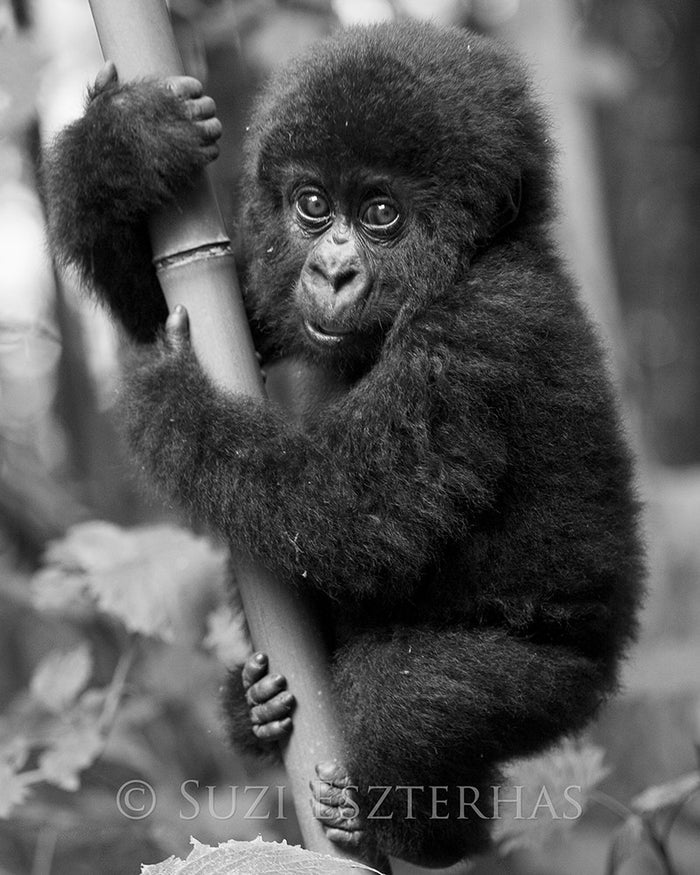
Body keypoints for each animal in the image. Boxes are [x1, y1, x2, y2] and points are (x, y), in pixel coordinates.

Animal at [42, 20, 643, 868]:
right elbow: (166, 304)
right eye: (314, 206)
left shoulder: (483, 328)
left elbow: (351, 514)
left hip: (564, 684)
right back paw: (255, 710)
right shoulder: (271, 288)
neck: (480, 257)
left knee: (404, 695)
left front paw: (169, 400)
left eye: (382, 212)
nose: (331, 272)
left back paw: (418, 830)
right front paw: (123, 142)